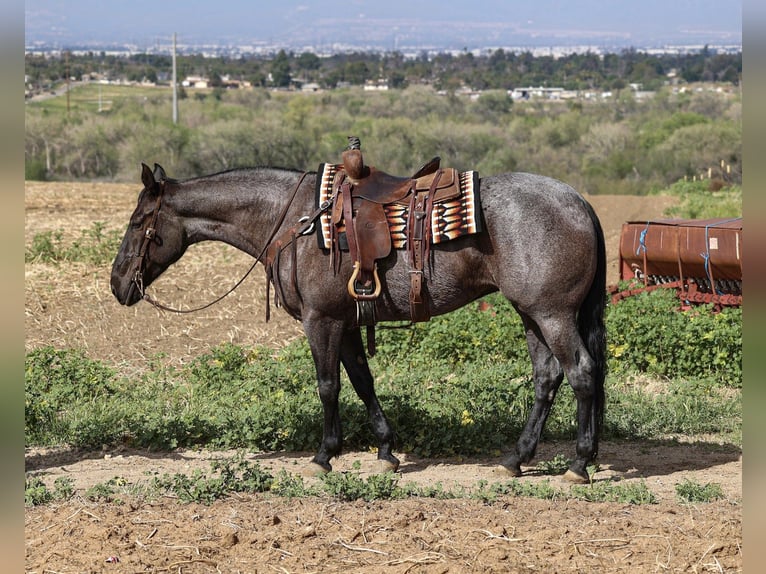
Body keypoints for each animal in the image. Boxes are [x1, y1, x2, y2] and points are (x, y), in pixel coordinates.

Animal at [110, 162, 607, 483]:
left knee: (581, 373)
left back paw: (579, 464)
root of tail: (579, 202)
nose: (117, 284)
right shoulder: (346, 323)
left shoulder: (321, 321)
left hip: (552, 314)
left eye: (138, 222)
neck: (294, 221)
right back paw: (516, 458)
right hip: (531, 314)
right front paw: (386, 450)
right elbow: (363, 381)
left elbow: (328, 386)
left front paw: (324, 456)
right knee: (547, 378)